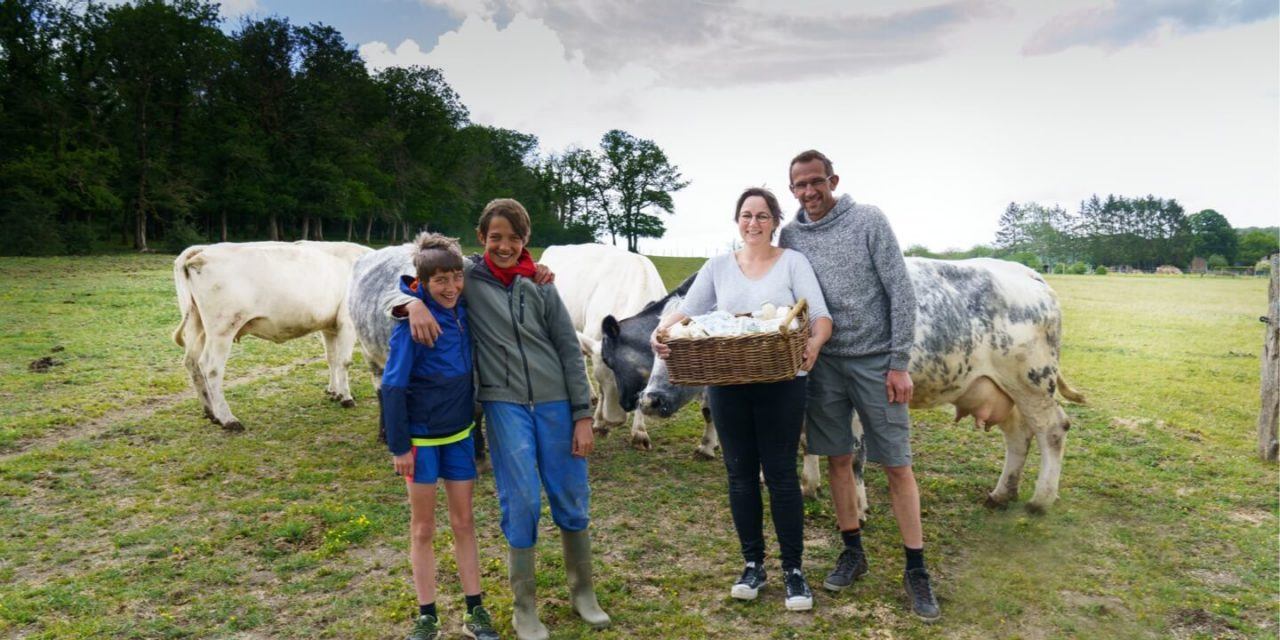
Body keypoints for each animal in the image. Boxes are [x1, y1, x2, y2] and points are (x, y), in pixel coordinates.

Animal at [172, 240, 371, 430]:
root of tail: (202, 250)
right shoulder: (347, 322)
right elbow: (344, 362)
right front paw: (346, 397)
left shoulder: (328, 326)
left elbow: (332, 359)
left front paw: (334, 391)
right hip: (223, 328)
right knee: (211, 368)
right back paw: (228, 419)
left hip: (197, 326)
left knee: (191, 363)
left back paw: (211, 412)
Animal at [604, 257, 1085, 512]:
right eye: (655, 346)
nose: (649, 400)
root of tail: (1031, 275)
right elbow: (806, 441)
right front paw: (809, 485)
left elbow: (852, 454)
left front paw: (856, 504)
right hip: (998, 389)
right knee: (1020, 436)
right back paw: (1002, 492)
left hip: (1032, 381)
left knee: (1053, 430)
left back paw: (1041, 499)